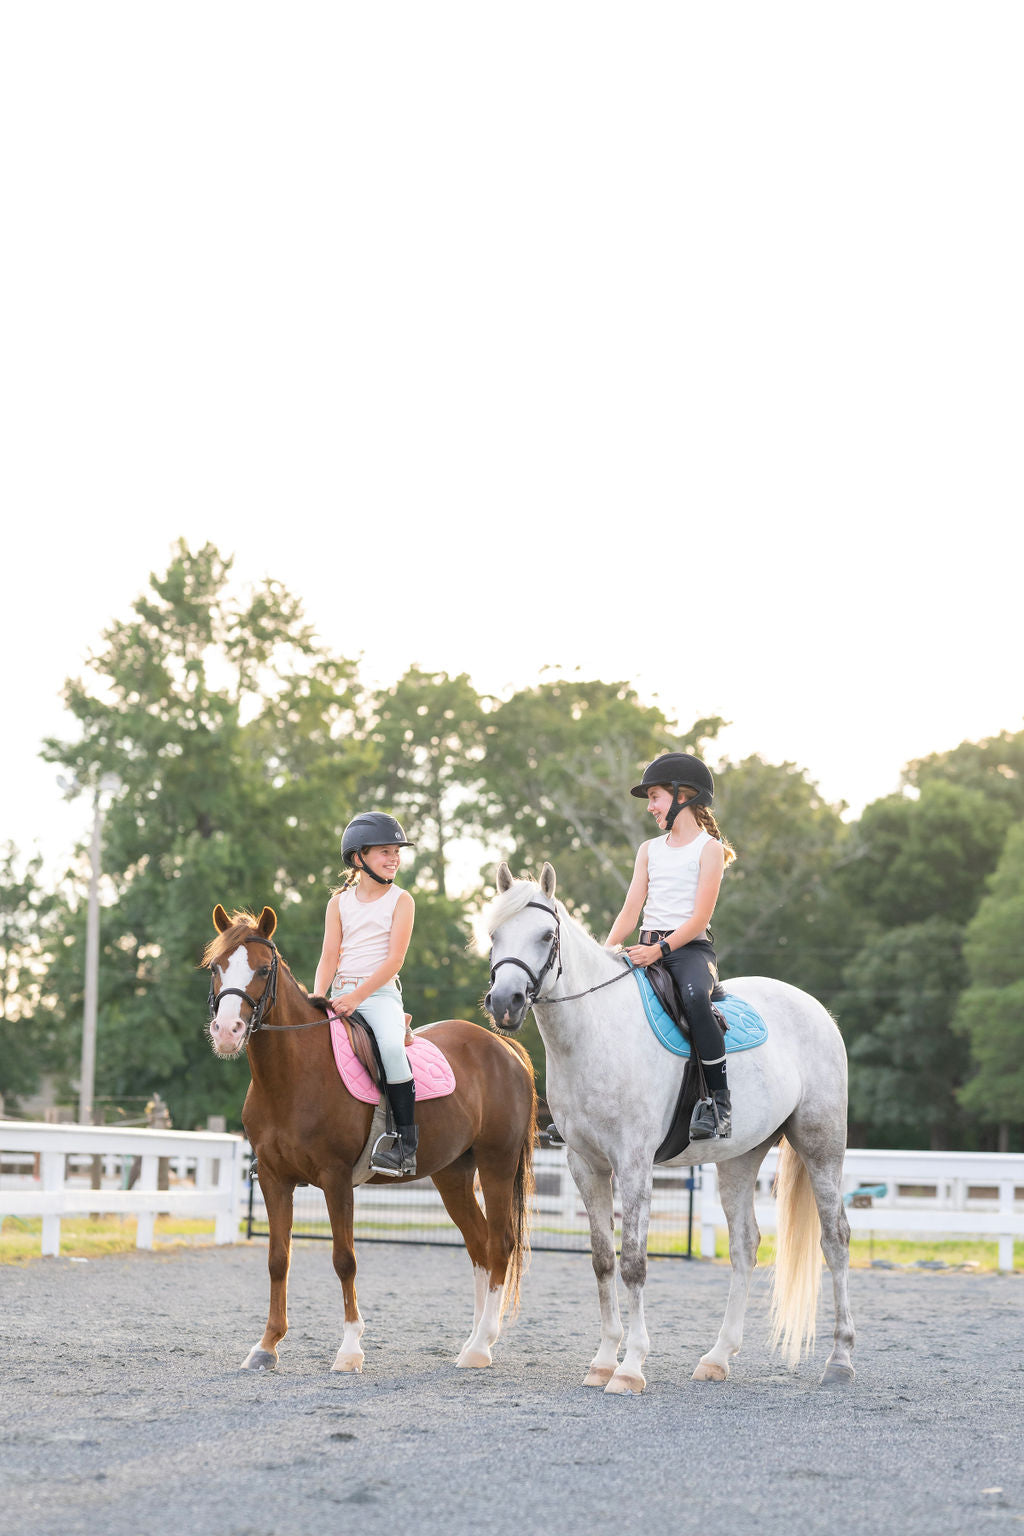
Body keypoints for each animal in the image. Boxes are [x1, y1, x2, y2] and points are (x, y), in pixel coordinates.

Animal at [201, 903, 537, 1376]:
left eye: (264, 969)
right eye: (216, 967)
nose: (227, 1031)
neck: (293, 1074)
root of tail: (504, 1047)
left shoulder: (336, 1178)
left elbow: (345, 1259)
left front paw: (349, 1350)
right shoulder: (273, 1179)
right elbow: (277, 1259)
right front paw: (266, 1346)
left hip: (496, 1163)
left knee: (500, 1244)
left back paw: (481, 1345)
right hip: (453, 1174)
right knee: (480, 1246)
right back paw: (473, 1343)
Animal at [485, 866, 853, 1394]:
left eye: (546, 936)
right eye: (494, 935)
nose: (505, 1002)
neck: (595, 1033)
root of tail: (817, 1010)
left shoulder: (634, 1164)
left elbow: (635, 1262)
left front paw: (631, 1367)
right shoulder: (586, 1165)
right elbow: (603, 1260)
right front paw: (603, 1361)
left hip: (821, 1147)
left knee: (835, 1238)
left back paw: (839, 1360)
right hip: (739, 1158)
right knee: (745, 1245)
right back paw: (718, 1357)